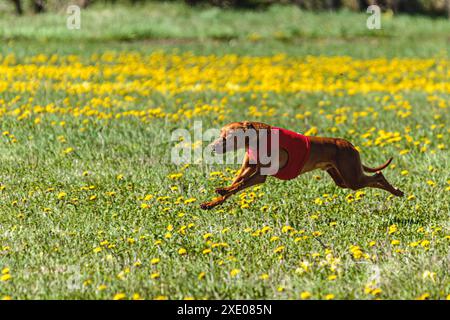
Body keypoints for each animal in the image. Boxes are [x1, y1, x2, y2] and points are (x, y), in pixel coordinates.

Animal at [200, 120, 404, 210]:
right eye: (220, 134)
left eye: (228, 137)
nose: (211, 147)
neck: (257, 138)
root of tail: (349, 144)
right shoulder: (247, 169)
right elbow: (234, 186)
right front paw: (211, 203)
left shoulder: (260, 175)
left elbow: (238, 185)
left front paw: (222, 191)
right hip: (342, 179)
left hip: (352, 178)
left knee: (378, 176)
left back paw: (397, 191)